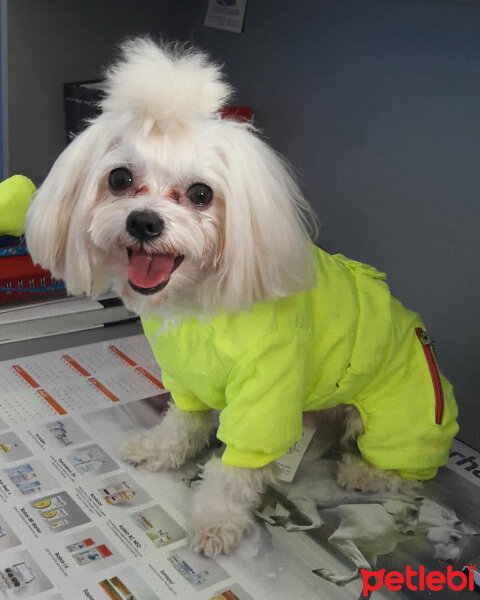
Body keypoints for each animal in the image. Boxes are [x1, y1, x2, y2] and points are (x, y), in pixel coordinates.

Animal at [25, 37, 458, 556]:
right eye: (120, 179)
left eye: (200, 193)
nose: (144, 222)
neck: (198, 307)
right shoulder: (185, 375)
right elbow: (182, 422)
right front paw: (159, 449)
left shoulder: (266, 394)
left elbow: (234, 472)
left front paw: (215, 521)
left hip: (402, 417)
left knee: (409, 474)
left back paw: (364, 473)